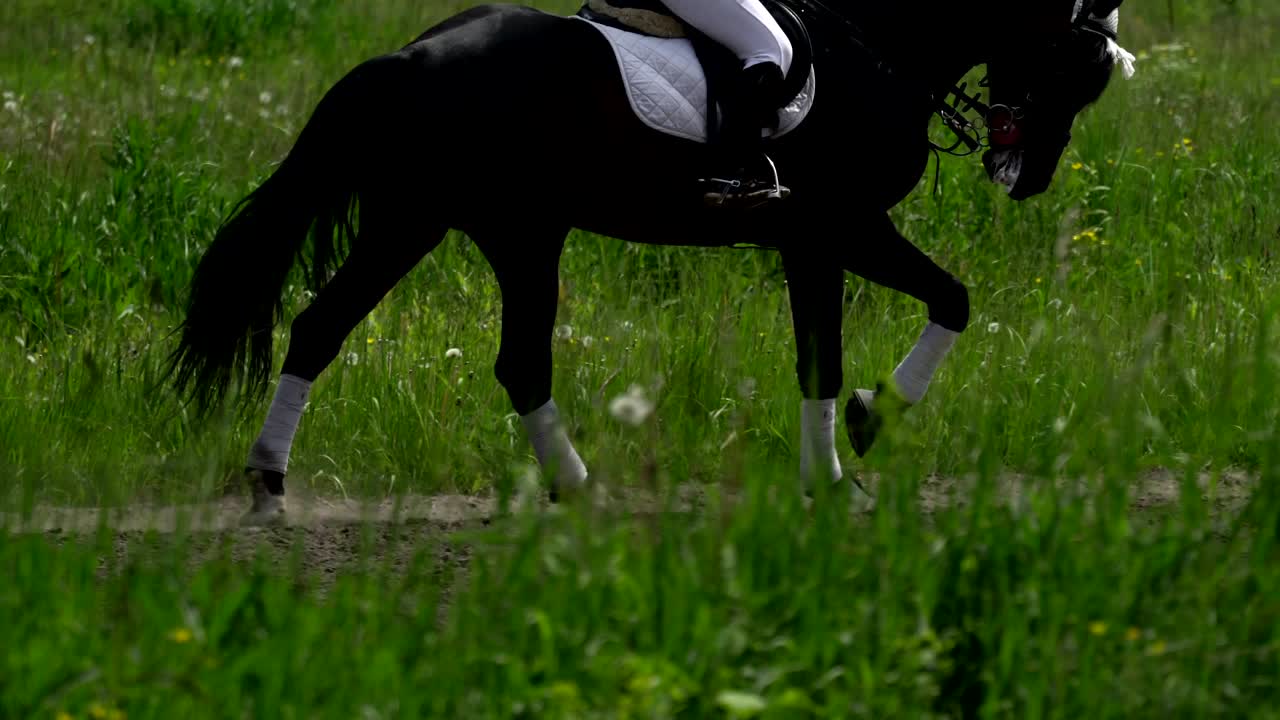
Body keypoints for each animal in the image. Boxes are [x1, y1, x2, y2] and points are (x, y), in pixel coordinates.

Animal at [163, 0, 1136, 525]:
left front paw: (847, 446)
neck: (875, 47)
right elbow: (898, 324)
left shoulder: (816, 239)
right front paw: (854, 449)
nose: (1028, 177)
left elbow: (883, 328)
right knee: (412, 342)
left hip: (475, 229)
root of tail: (408, 57)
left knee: (409, 343)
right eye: (1078, 65)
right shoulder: (835, 229)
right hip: (463, 226)